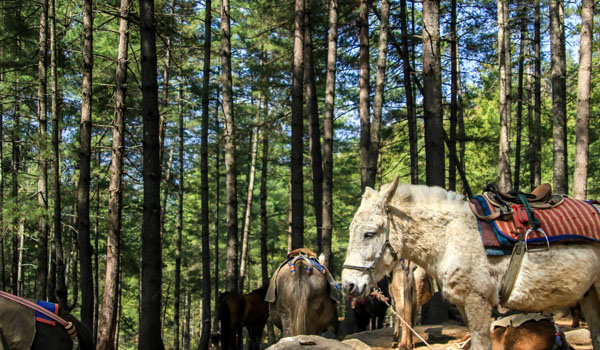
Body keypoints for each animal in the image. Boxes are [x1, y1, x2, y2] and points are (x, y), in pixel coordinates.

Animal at [342, 178, 600, 350]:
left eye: (368, 234)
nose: (348, 285)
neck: (452, 237)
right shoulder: (465, 305)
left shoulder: (478, 302)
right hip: (589, 294)